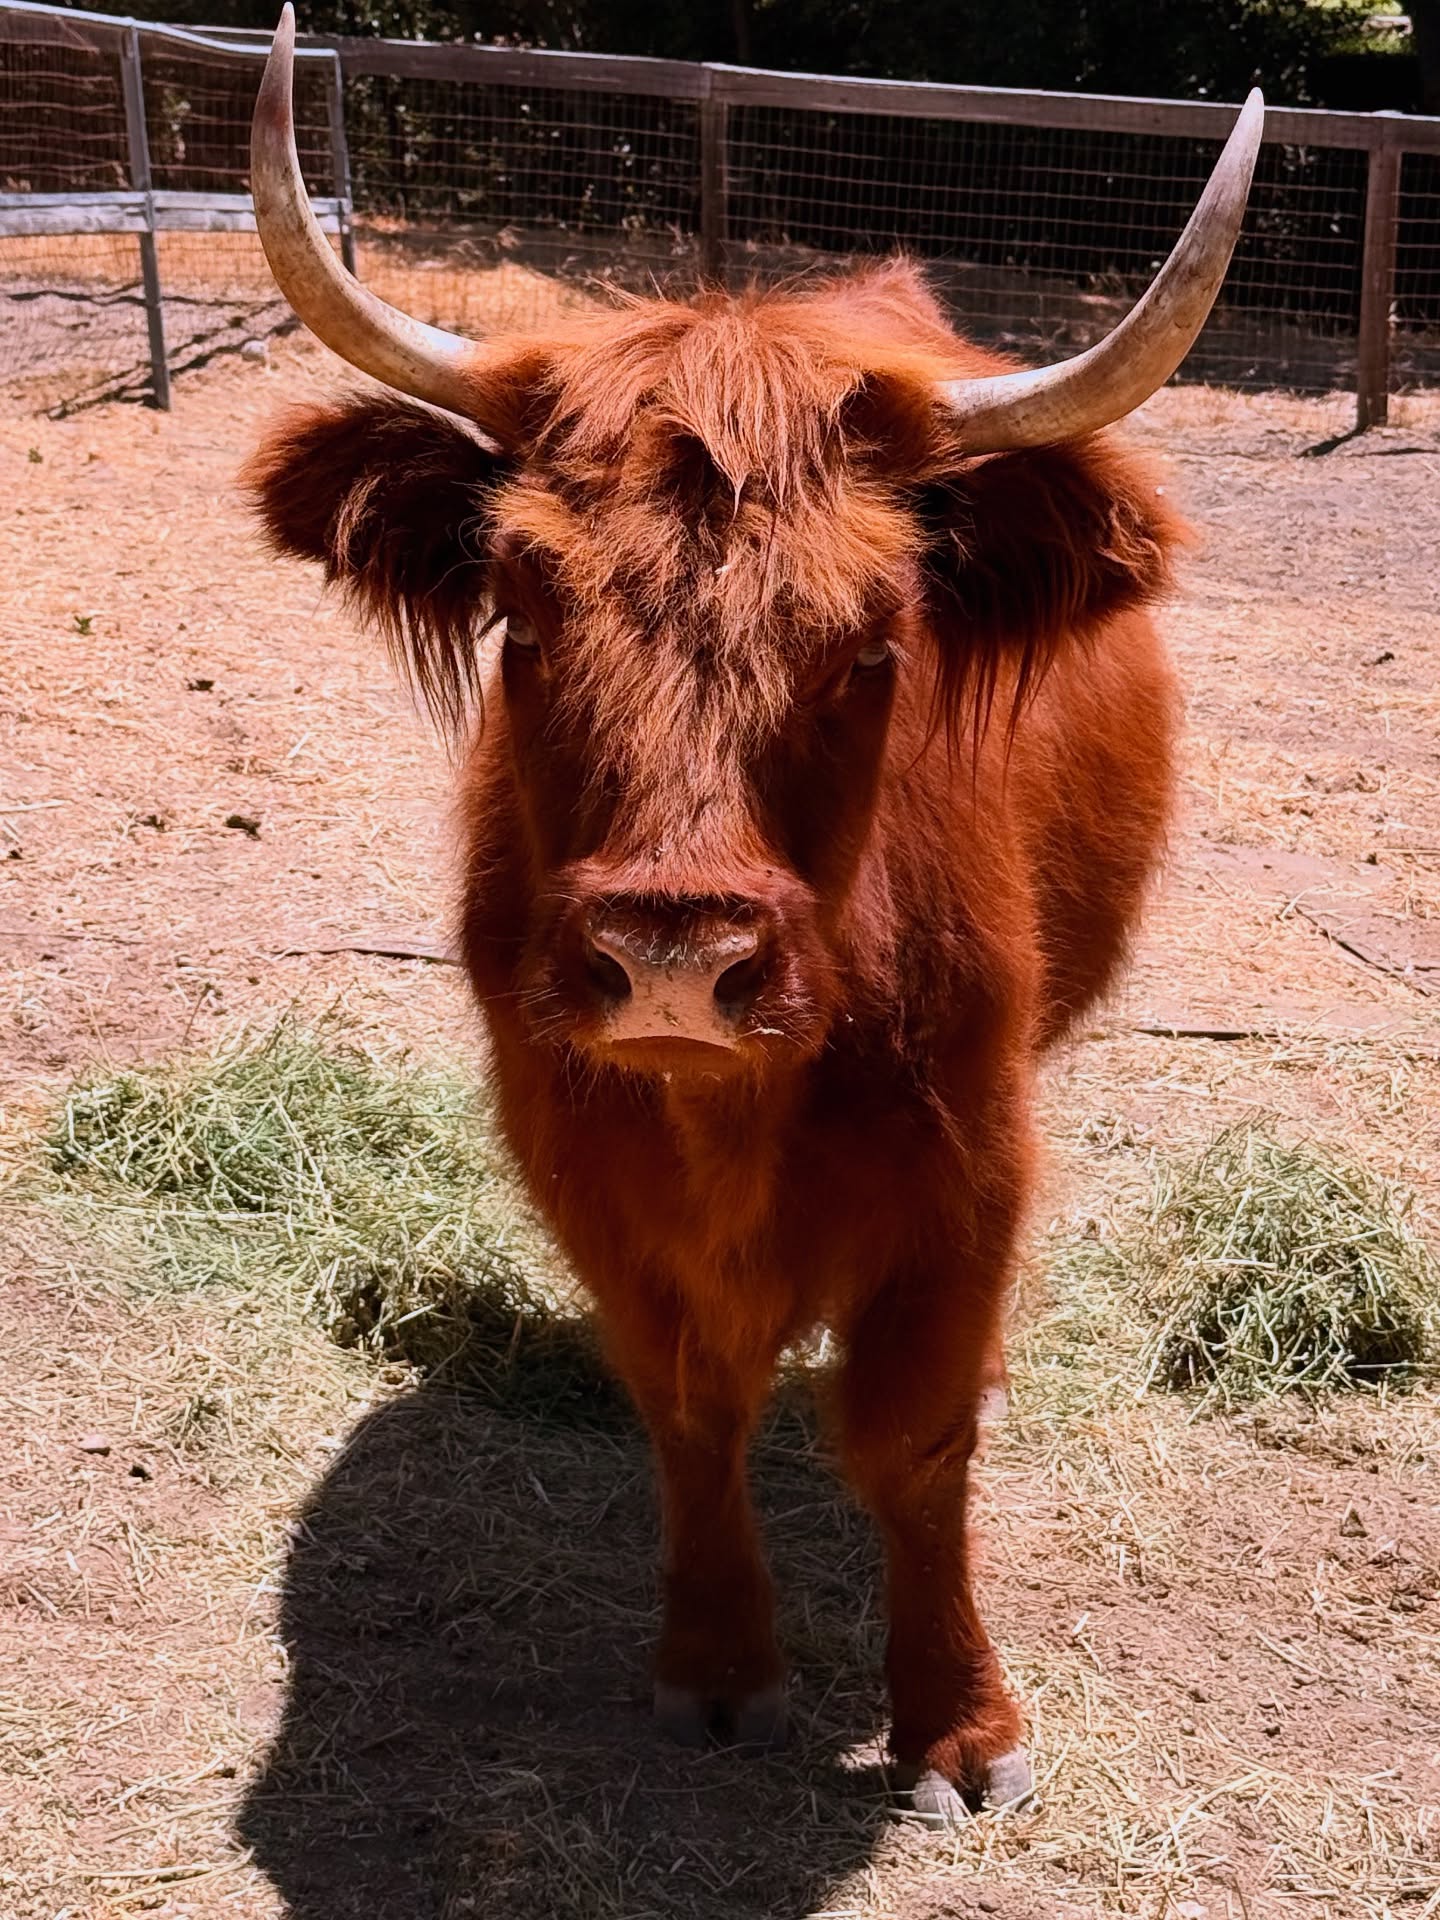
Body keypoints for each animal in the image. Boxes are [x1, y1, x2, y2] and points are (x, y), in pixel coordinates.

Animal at [246, 7, 1262, 1822]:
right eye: (520, 604)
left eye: (874, 636)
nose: (673, 955)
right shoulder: (569, 1143)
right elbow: (690, 1399)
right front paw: (716, 1663)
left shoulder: (970, 1162)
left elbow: (914, 1437)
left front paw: (958, 1724)